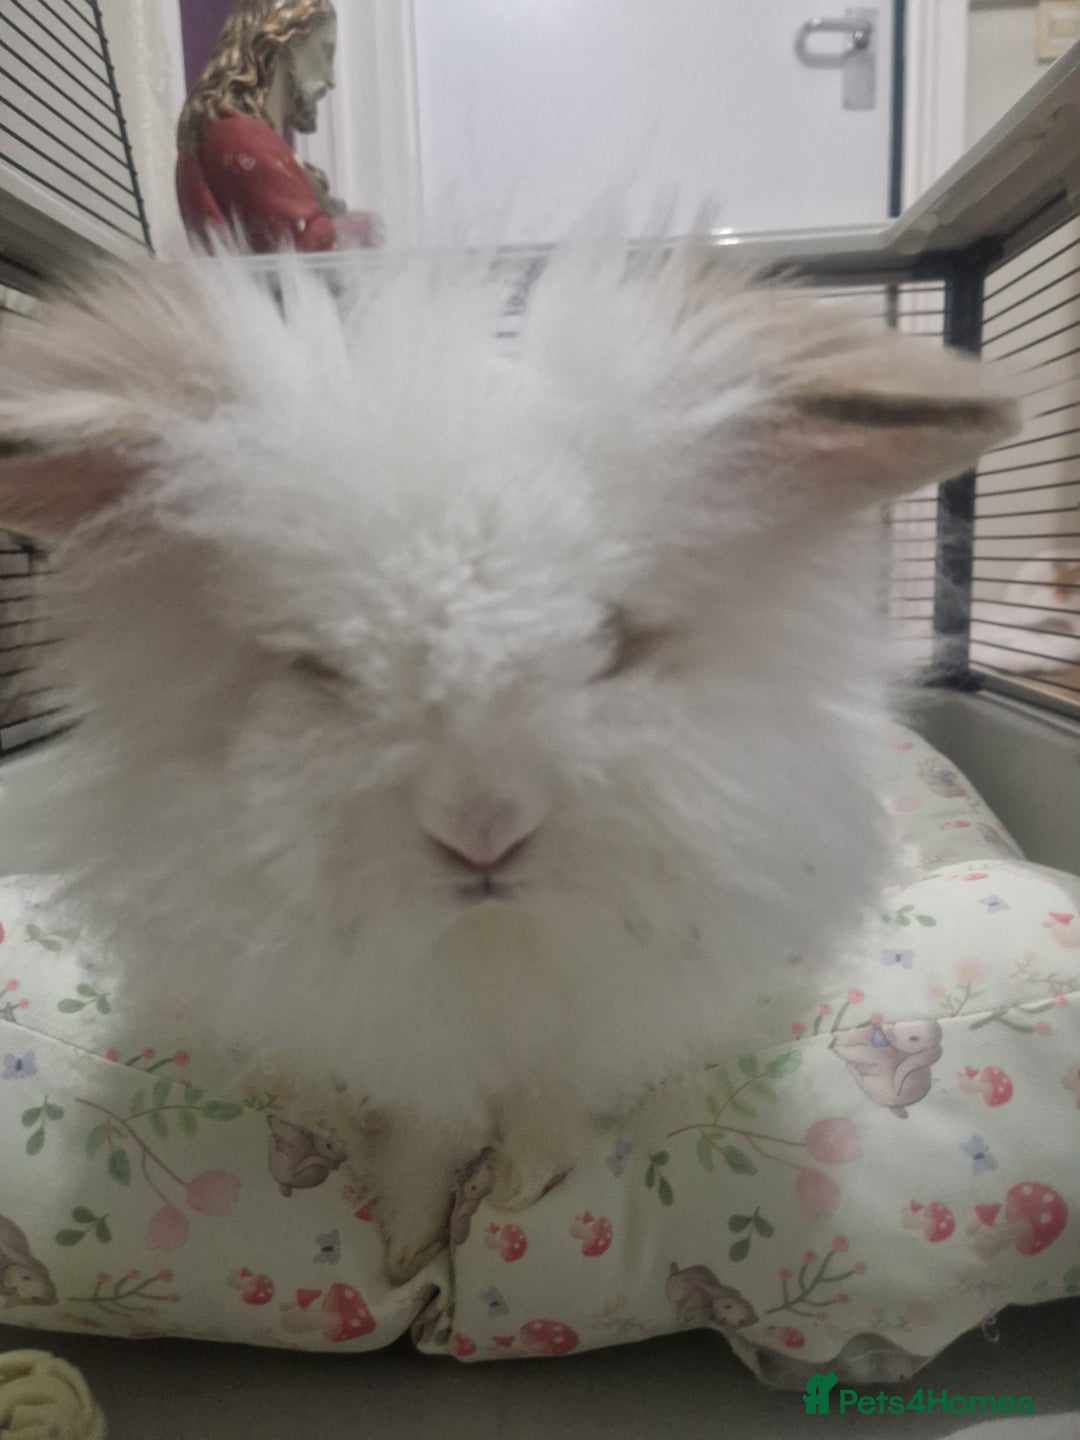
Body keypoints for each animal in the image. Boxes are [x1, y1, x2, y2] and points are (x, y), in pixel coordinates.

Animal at [0, 243, 1016, 1282]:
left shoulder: (599, 1025)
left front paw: (522, 1186)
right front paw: (406, 1243)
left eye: (610, 642)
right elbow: (424, 1129)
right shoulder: (399, 1040)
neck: (490, 943)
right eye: (320, 667)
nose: (482, 833)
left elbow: (550, 1100)